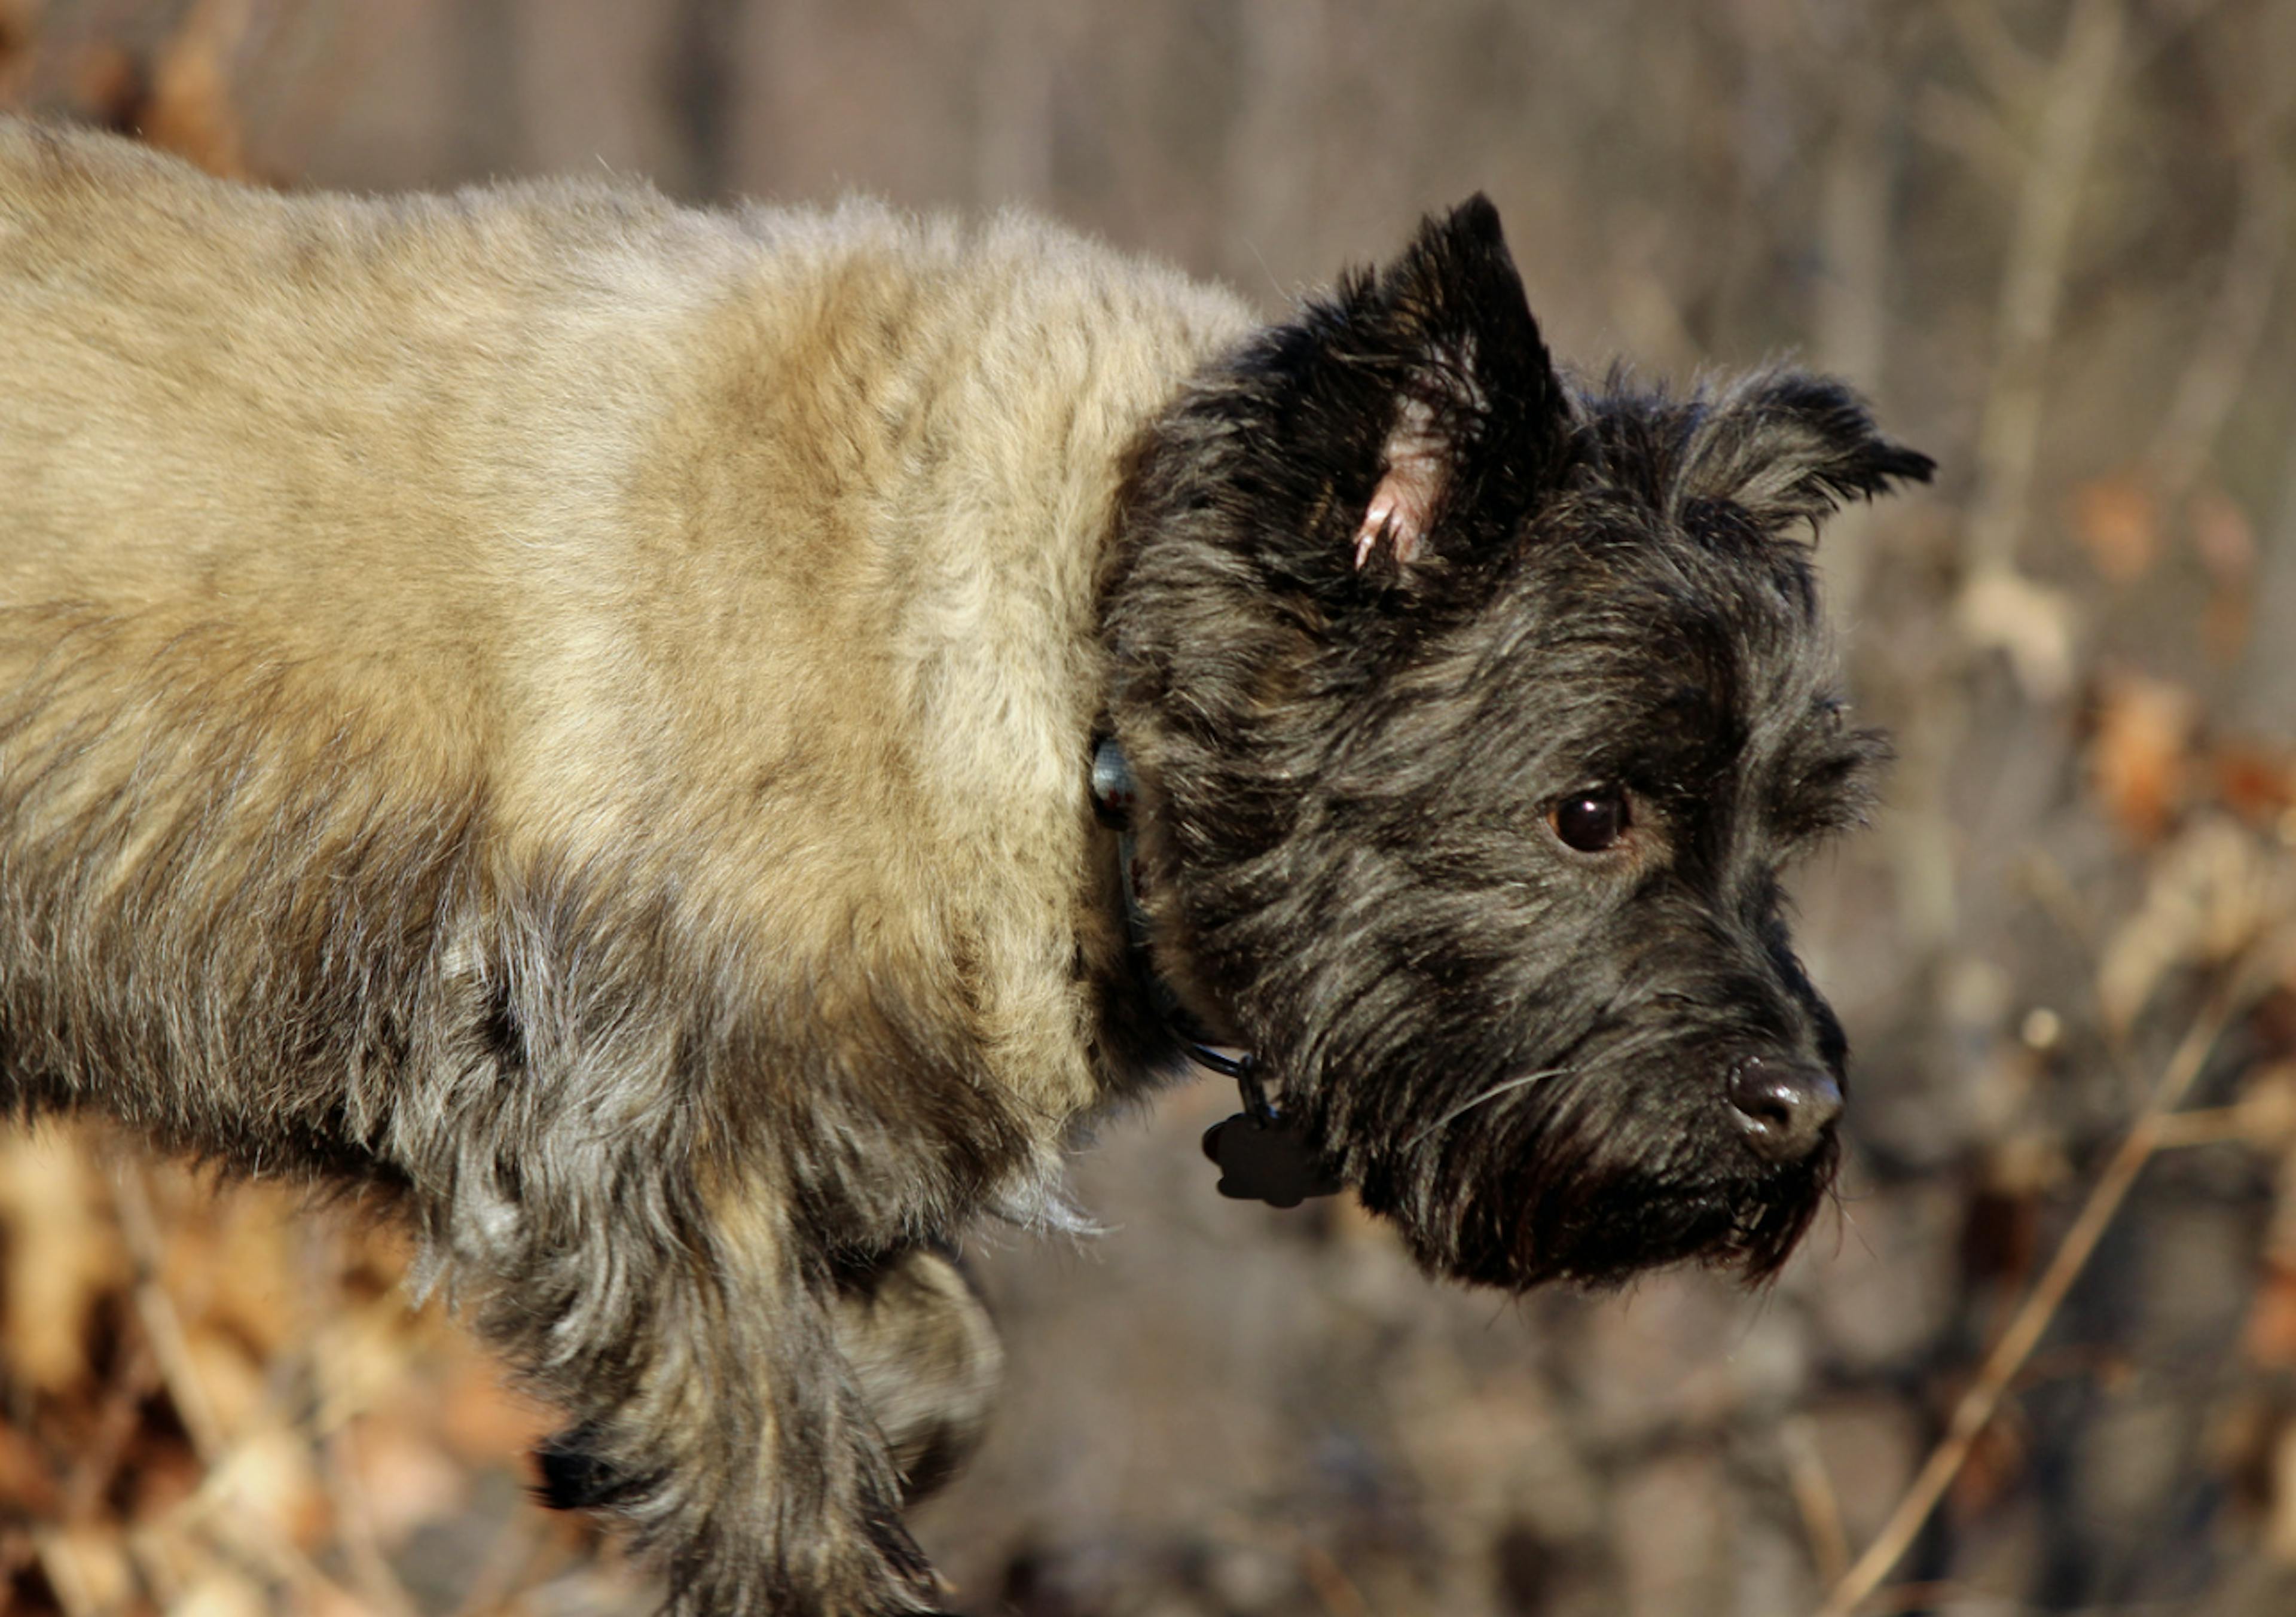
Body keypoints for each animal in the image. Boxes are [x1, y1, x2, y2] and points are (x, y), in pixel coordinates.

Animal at [0, 117, 1937, 1617]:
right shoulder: (634, 1151)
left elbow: (947, 1359)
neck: (1071, 642)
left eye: (1789, 824)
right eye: (1589, 812)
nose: (1799, 1111)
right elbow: (800, 1480)